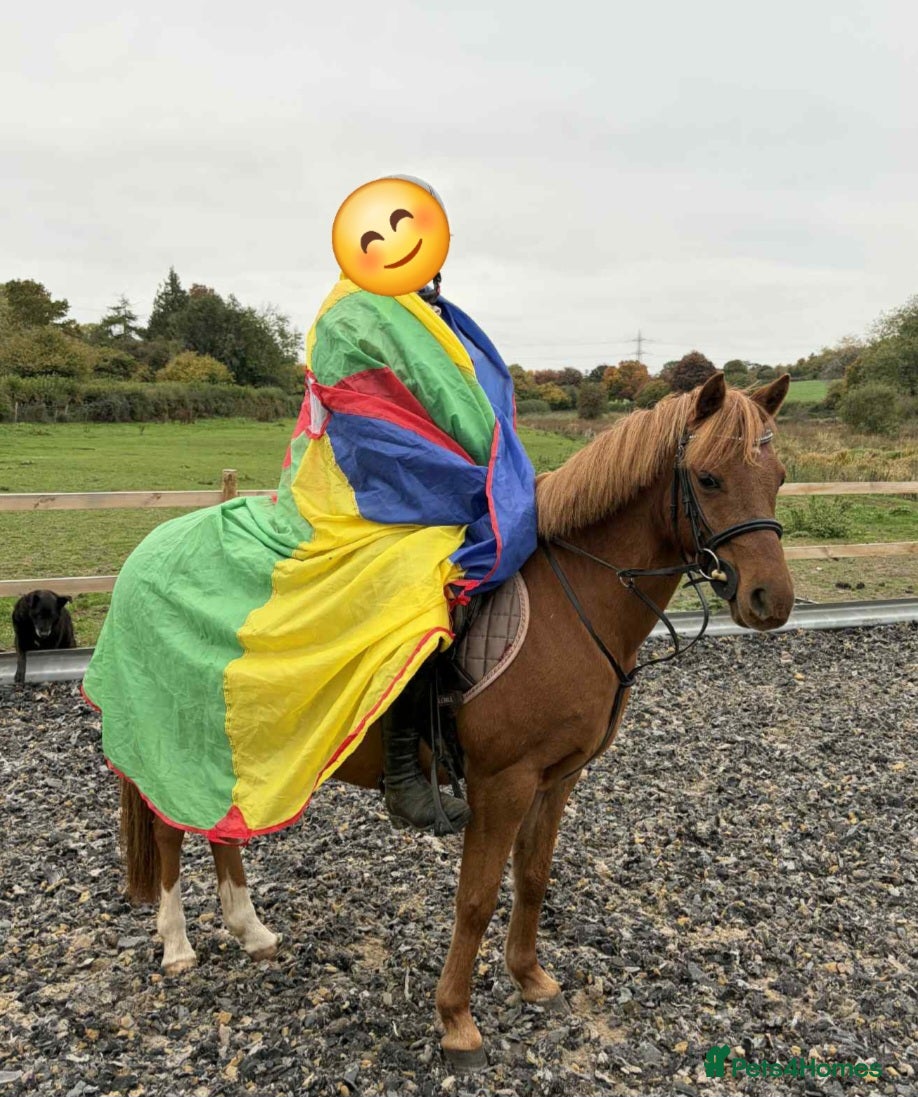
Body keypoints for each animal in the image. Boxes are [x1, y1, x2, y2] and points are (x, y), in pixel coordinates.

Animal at [117, 372, 793, 1069]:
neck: (572, 602)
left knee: (216, 828)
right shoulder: (503, 782)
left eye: (778, 476)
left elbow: (532, 878)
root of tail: (152, 549)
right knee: (170, 832)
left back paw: (250, 930)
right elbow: (476, 898)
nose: (771, 600)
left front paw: (531, 979)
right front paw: (457, 1021)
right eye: (709, 478)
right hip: (175, 729)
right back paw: (177, 946)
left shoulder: (558, 778)